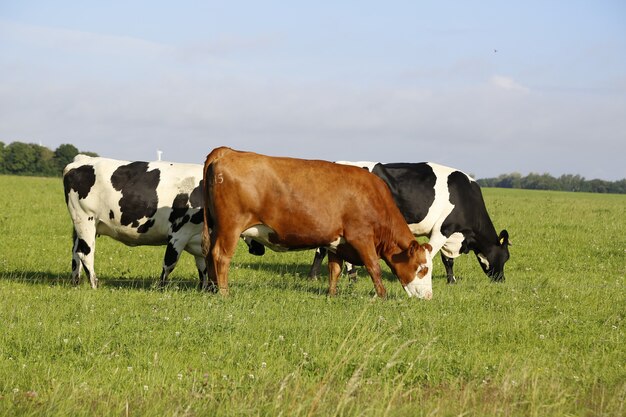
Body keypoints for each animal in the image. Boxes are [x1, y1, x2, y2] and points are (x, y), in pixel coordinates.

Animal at [64, 154, 210, 288]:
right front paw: (161, 289)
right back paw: (94, 284)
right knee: (85, 253)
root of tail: (83, 159)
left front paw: (205, 289)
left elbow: (203, 269)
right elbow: (169, 264)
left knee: (76, 253)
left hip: (84, 225)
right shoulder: (180, 233)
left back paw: (76, 283)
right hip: (85, 220)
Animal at [201, 146, 434, 300]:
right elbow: (374, 267)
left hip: (216, 227)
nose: (429, 296)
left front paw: (332, 295)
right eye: (422, 268)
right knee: (221, 256)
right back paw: (224, 293)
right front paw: (383, 296)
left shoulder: (337, 242)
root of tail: (228, 151)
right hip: (230, 226)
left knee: (209, 253)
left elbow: (335, 269)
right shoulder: (361, 237)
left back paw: (211, 288)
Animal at [308, 159, 508, 282]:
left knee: (323, 248)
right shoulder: (443, 229)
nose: (501, 280)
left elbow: (447, 260)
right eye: (506, 257)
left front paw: (451, 281)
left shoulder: (449, 232)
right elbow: (432, 255)